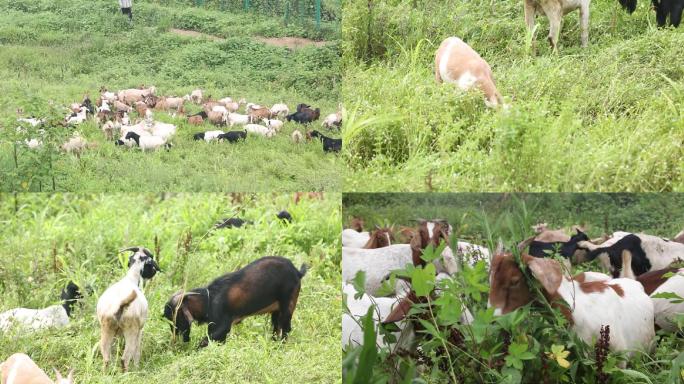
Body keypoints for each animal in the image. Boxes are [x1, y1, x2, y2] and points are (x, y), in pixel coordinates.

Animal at [164, 256, 308, 346]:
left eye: (175, 316)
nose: (175, 340)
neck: (208, 300)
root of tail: (297, 272)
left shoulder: (221, 326)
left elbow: (205, 341)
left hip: (288, 304)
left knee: (285, 328)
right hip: (276, 310)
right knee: (277, 328)